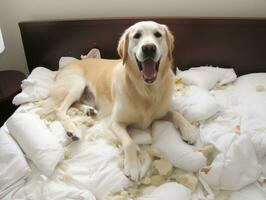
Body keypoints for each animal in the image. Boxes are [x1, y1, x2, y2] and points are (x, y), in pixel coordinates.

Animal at [38, 21, 198, 181]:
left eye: (158, 34)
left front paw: (189, 130)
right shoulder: (115, 122)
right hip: (76, 84)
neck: (146, 90)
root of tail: (62, 69)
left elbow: (176, 113)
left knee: (74, 103)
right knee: (59, 109)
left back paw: (88, 110)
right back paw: (72, 130)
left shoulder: (161, 111)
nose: (149, 48)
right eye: (137, 35)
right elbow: (129, 142)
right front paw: (132, 166)